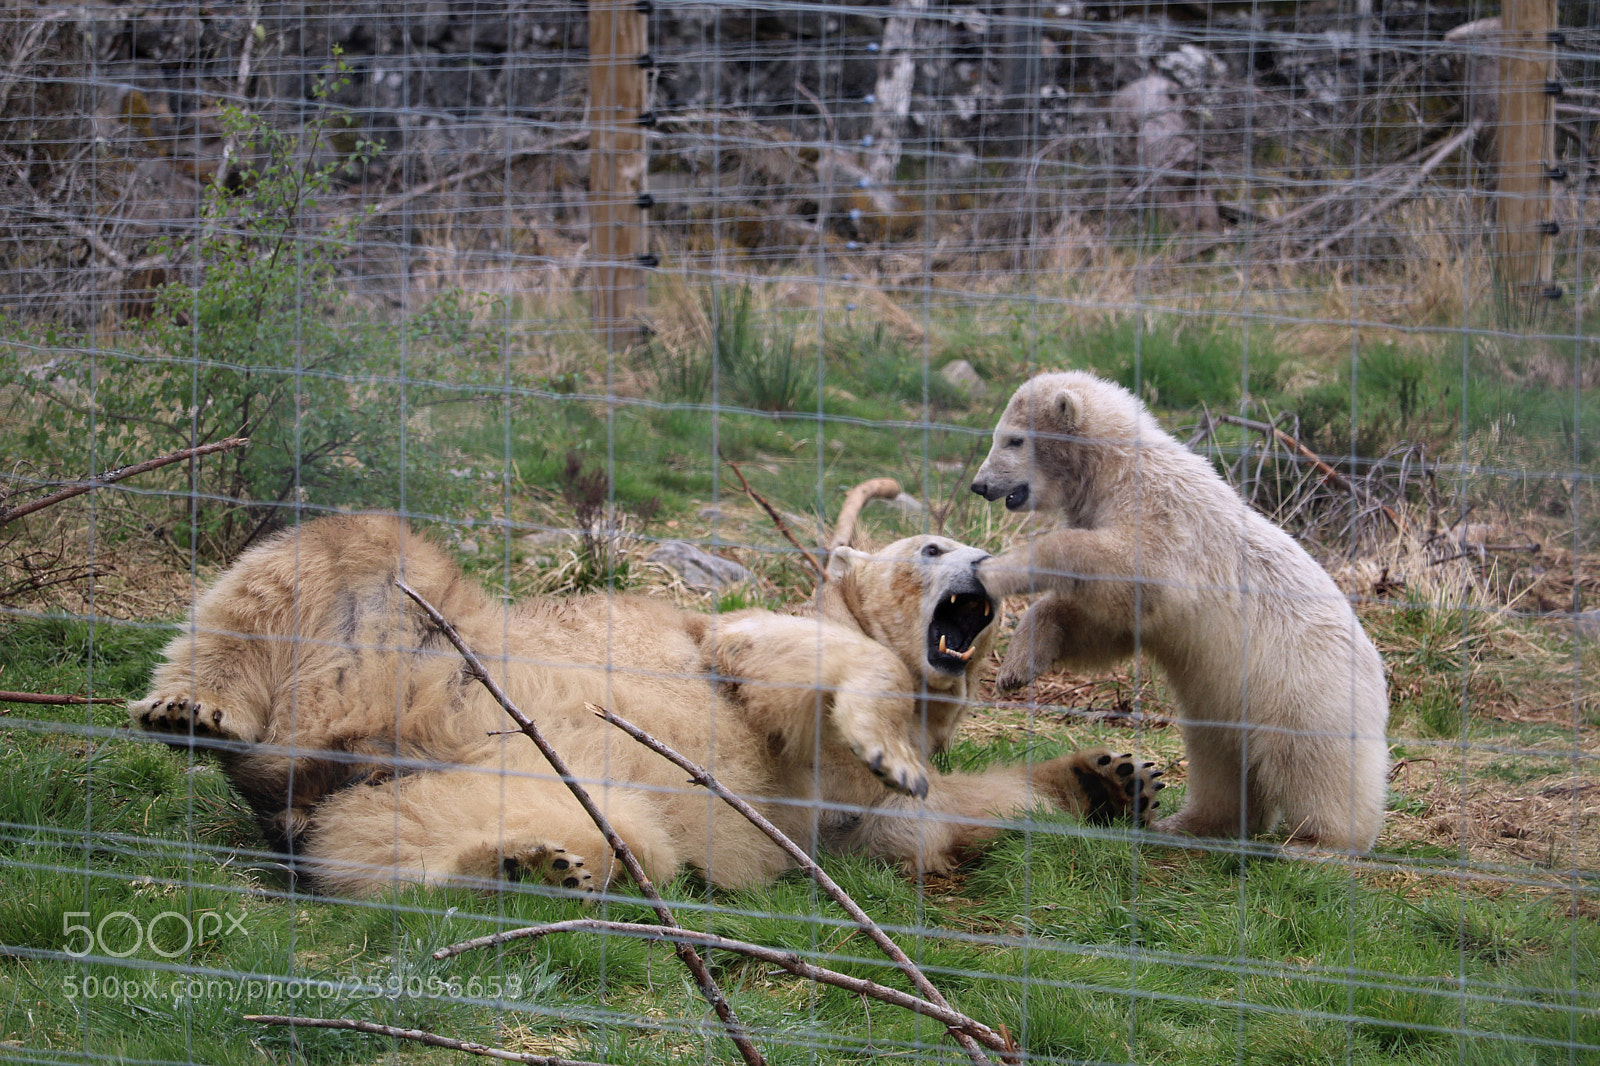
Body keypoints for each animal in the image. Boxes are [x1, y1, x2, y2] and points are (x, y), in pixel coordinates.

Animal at [131, 514, 1160, 897]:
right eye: (932, 546)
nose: (983, 565)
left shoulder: (842, 814)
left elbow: (916, 826)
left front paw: (1116, 776)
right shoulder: (735, 636)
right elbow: (800, 664)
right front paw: (894, 747)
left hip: (482, 773)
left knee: (408, 841)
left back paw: (527, 863)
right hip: (406, 640)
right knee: (327, 554)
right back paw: (191, 711)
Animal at [970, 371, 1389, 854]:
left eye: (1014, 439)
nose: (980, 485)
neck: (1117, 466)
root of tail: (1377, 672)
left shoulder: (1165, 515)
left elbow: (1134, 573)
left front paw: (999, 567)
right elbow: (1107, 621)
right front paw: (1018, 666)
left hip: (1304, 687)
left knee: (1310, 761)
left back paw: (1317, 842)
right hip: (1227, 697)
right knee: (1219, 760)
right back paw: (1190, 823)